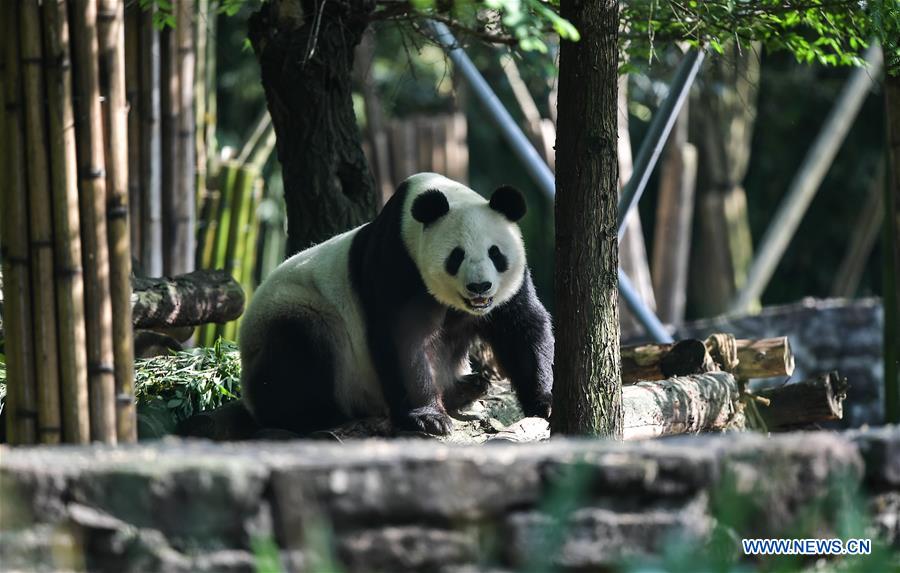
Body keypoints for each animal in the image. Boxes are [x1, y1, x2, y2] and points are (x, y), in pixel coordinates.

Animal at [239, 172, 553, 436]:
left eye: (495, 254)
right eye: (456, 256)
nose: (479, 287)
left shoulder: (510, 289)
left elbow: (522, 328)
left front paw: (546, 402)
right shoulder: (397, 263)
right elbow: (402, 339)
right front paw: (429, 418)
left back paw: (469, 386)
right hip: (297, 310)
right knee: (296, 356)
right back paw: (314, 415)